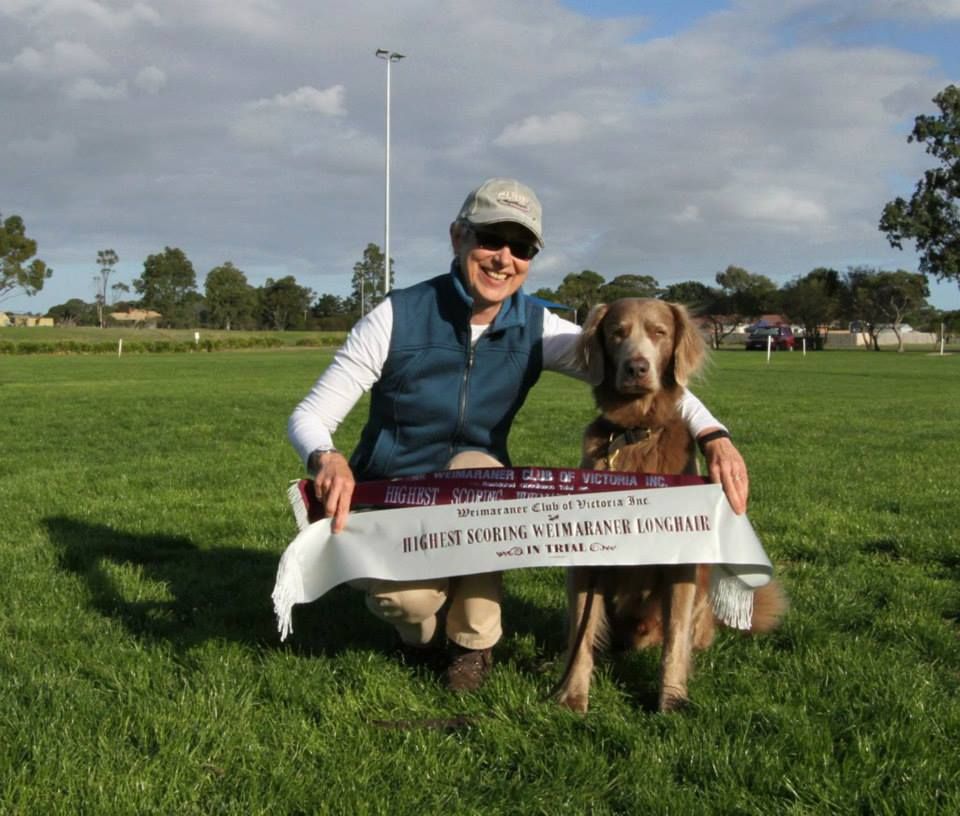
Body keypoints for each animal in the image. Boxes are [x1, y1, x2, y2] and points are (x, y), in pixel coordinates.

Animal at [556, 298, 786, 713]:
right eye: (617, 333)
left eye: (660, 332)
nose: (637, 368)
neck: (636, 433)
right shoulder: (586, 560)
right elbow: (581, 637)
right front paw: (572, 695)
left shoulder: (681, 564)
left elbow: (675, 640)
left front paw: (672, 699)